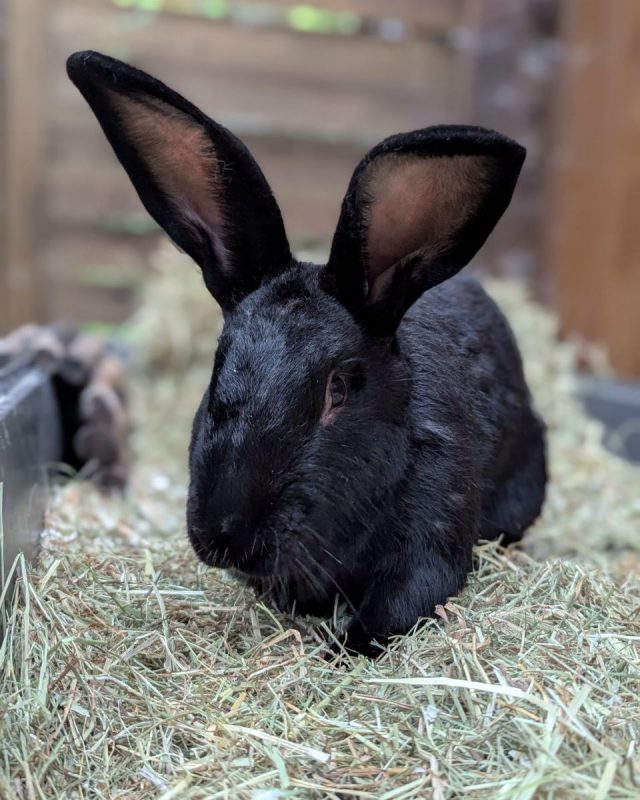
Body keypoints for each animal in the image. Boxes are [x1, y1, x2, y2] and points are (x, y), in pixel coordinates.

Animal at [67, 50, 547, 657]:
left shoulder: (432, 537)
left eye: (337, 389)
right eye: (218, 369)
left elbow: (398, 608)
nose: (226, 536)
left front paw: (341, 652)